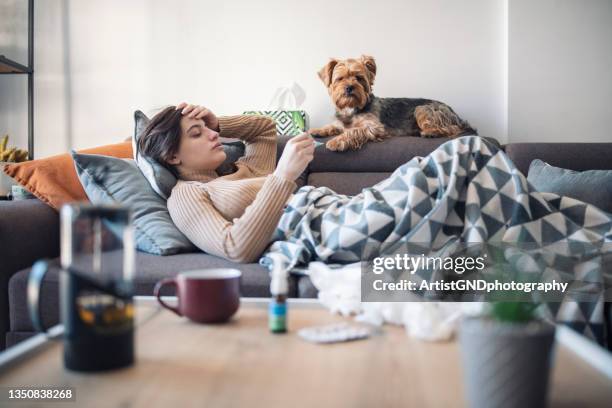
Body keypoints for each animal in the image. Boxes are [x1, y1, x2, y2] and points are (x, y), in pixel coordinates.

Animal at [308, 54, 476, 150]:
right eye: (340, 79)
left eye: (359, 78)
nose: (349, 87)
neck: (352, 108)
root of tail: (455, 113)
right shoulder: (340, 122)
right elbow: (333, 126)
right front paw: (317, 130)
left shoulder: (374, 127)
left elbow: (353, 131)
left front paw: (336, 142)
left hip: (423, 109)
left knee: (452, 129)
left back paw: (431, 132)